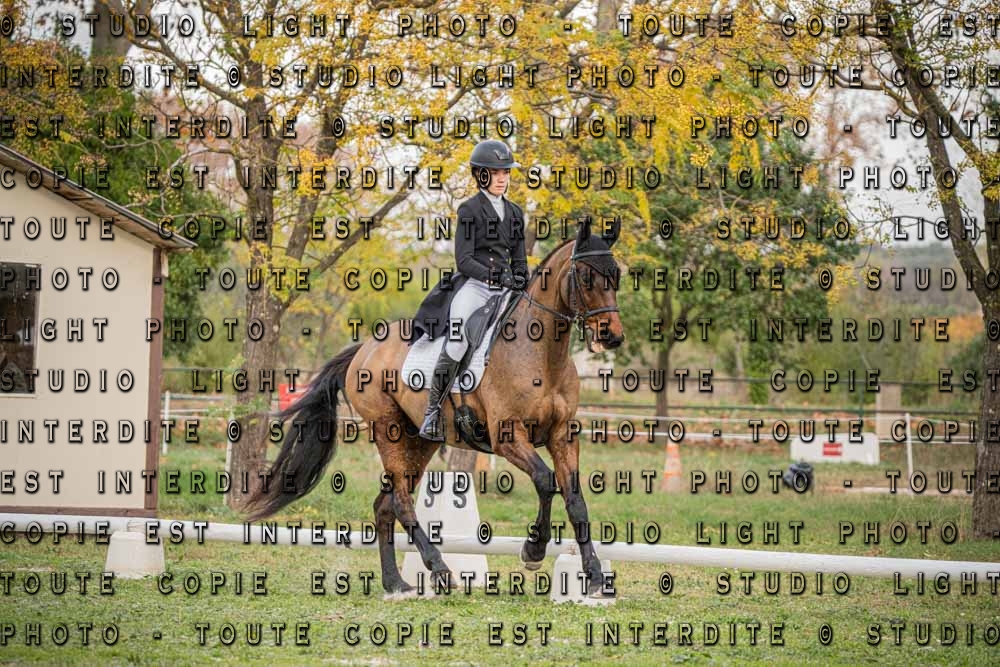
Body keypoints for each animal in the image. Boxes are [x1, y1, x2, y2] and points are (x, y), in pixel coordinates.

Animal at [244, 217, 625, 597]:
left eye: (616, 275)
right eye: (586, 277)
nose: (613, 336)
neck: (542, 355)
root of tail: (365, 349)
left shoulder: (563, 435)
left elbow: (575, 500)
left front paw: (594, 576)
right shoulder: (509, 437)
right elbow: (546, 481)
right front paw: (533, 551)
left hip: (419, 442)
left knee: (384, 505)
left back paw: (396, 583)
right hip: (388, 430)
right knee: (400, 501)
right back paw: (439, 570)